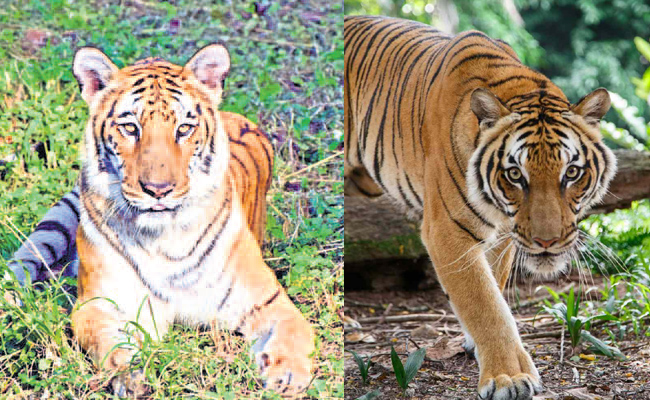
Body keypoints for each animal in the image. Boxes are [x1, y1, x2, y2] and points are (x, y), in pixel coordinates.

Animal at [7, 44, 315, 396]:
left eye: (183, 129)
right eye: (130, 128)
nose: (158, 190)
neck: (164, 239)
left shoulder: (268, 300)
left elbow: (292, 334)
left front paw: (288, 377)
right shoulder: (100, 304)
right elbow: (112, 344)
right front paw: (132, 375)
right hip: (56, 221)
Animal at [344, 16, 616, 400]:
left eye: (572, 172)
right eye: (516, 174)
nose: (547, 242)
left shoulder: (503, 235)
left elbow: (493, 288)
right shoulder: (447, 231)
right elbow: (485, 304)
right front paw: (508, 377)